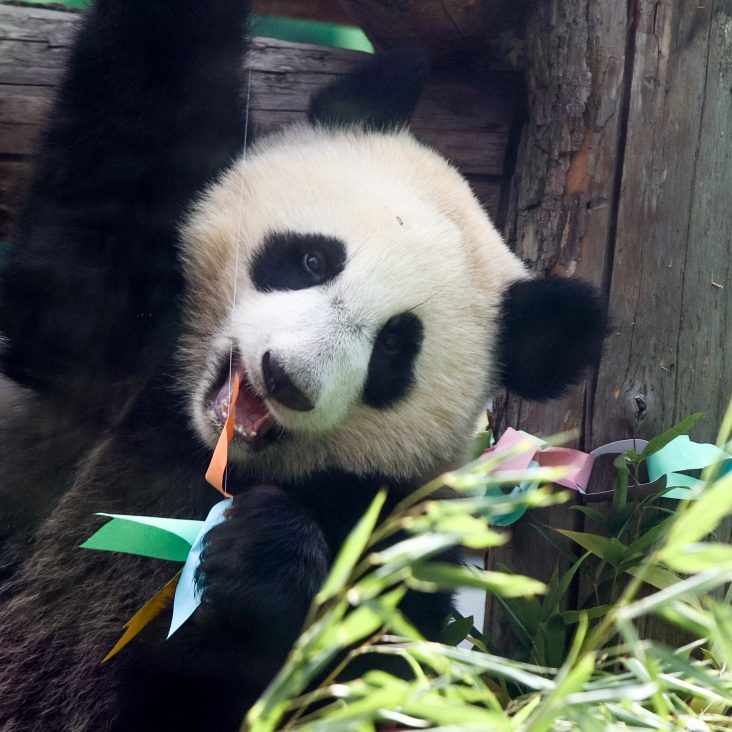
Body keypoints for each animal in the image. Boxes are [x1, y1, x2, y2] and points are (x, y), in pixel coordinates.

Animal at [0, 1, 608, 732]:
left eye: (395, 348)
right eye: (312, 259)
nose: (283, 377)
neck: (204, 451)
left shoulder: (393, 527)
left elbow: (359, 676)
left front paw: (263, 554)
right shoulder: (108, 334)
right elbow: (132, 132)